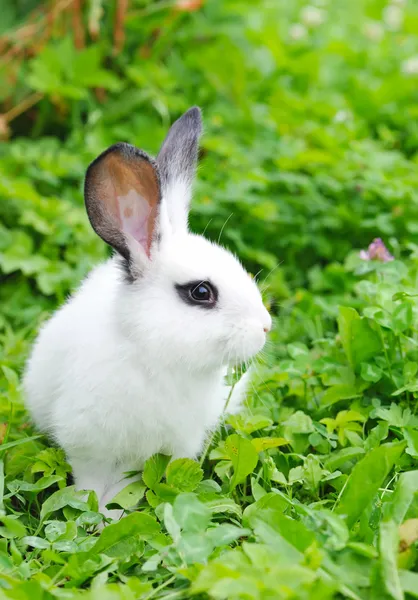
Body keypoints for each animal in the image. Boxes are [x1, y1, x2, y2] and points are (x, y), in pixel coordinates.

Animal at [23, 109, 272, 520]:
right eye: (201, 292)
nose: (265, 328)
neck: (153, 353)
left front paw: (113, 517)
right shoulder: (88, 444)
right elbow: (92, 484)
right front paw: (101, 518)